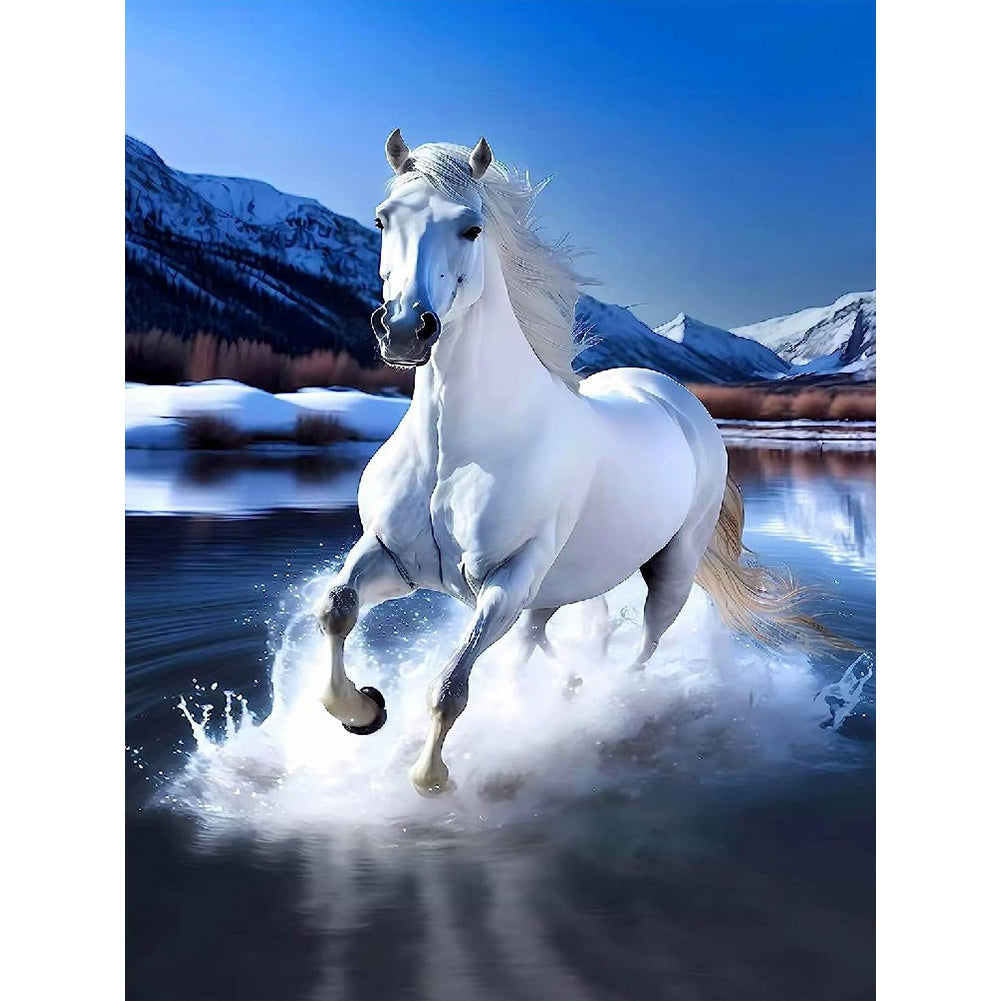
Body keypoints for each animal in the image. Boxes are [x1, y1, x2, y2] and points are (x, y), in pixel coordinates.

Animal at [315, 130, 830, 796]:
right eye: (382, 219)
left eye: (471, 228)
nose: (406, 331)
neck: (459, 449)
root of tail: (676, 397)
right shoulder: (390, 555)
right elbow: (336, 609)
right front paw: (363, 710)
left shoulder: (506, 578)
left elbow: (450, 687)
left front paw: (431, 779)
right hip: (557, 587)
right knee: (548, 638)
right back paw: (569, 683)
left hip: (669, 571)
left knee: (642, 645)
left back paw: (609, 703)